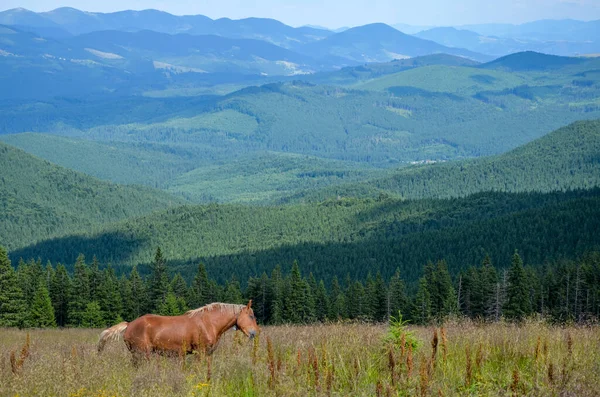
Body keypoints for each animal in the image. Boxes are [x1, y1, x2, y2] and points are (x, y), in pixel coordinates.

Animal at [97, 298, 258, 364]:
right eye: (251, 315)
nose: (255, 333)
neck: (209, 323)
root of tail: (129, 324)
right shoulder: (200, 352)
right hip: (142, 353)